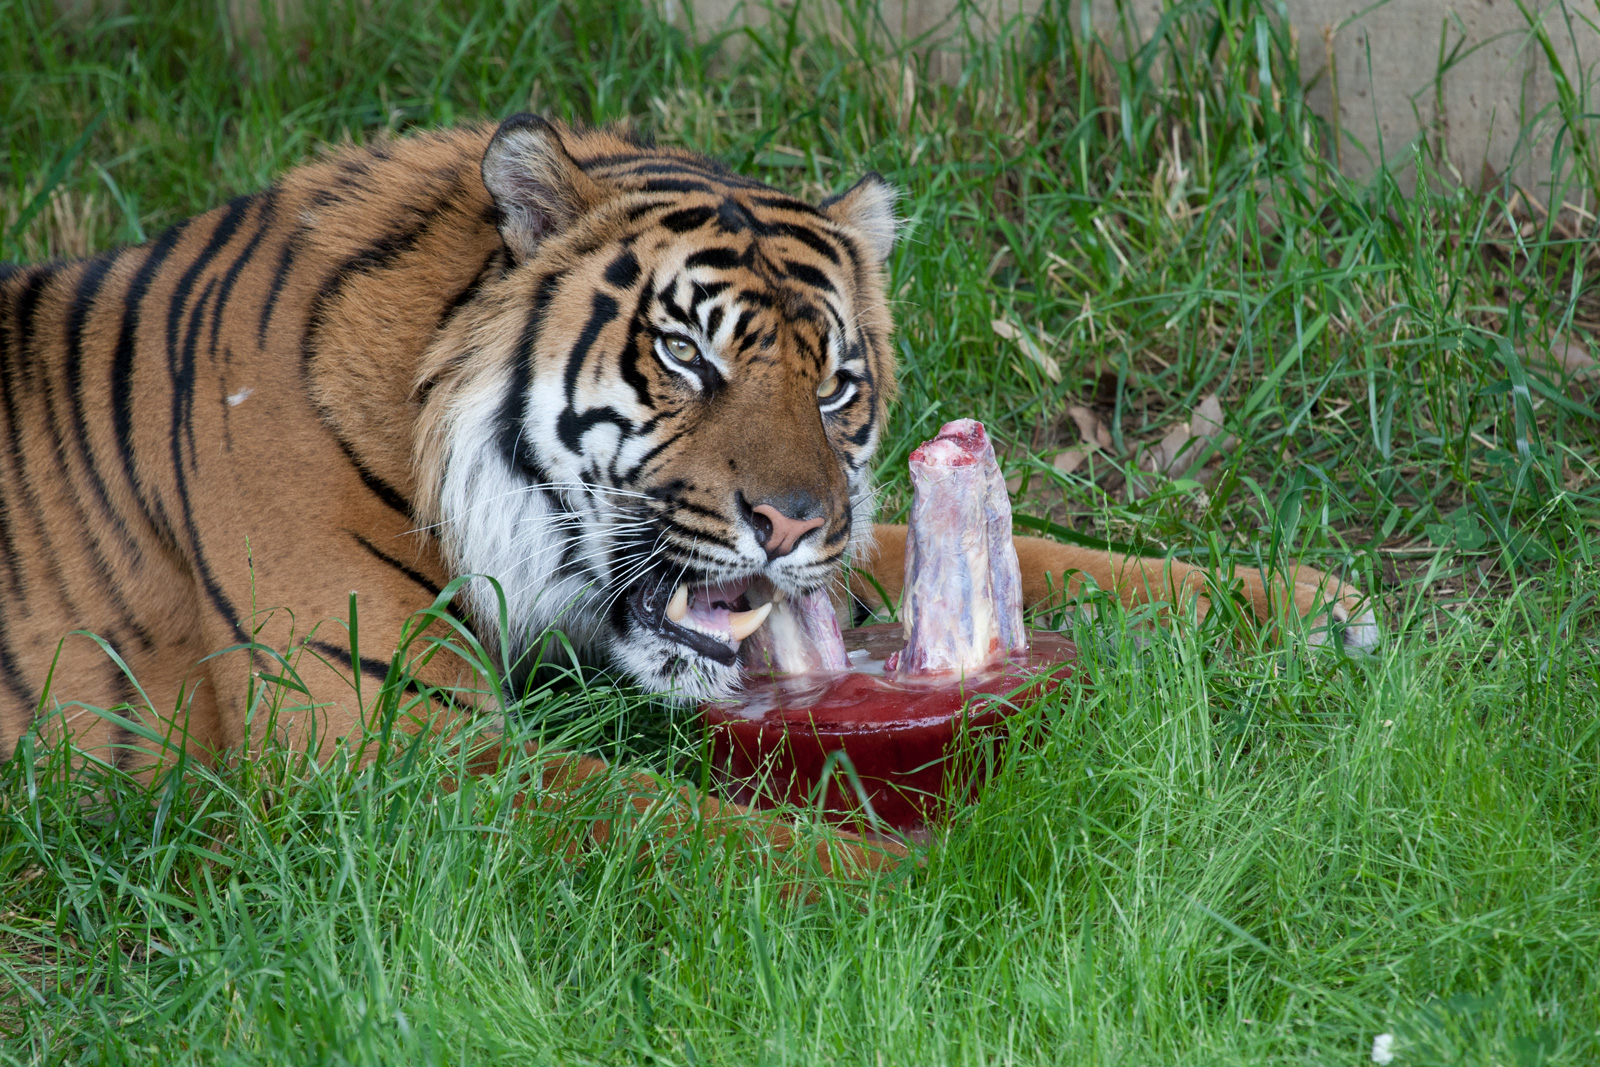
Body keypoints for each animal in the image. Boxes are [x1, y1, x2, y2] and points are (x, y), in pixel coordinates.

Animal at [0, 115, 1376, 844]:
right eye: (687, 357)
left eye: (835, 382)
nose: (794, 521)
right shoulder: (391, 747)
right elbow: (698, 827)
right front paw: (912, 896)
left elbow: (1037, 553)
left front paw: (1305, 605)